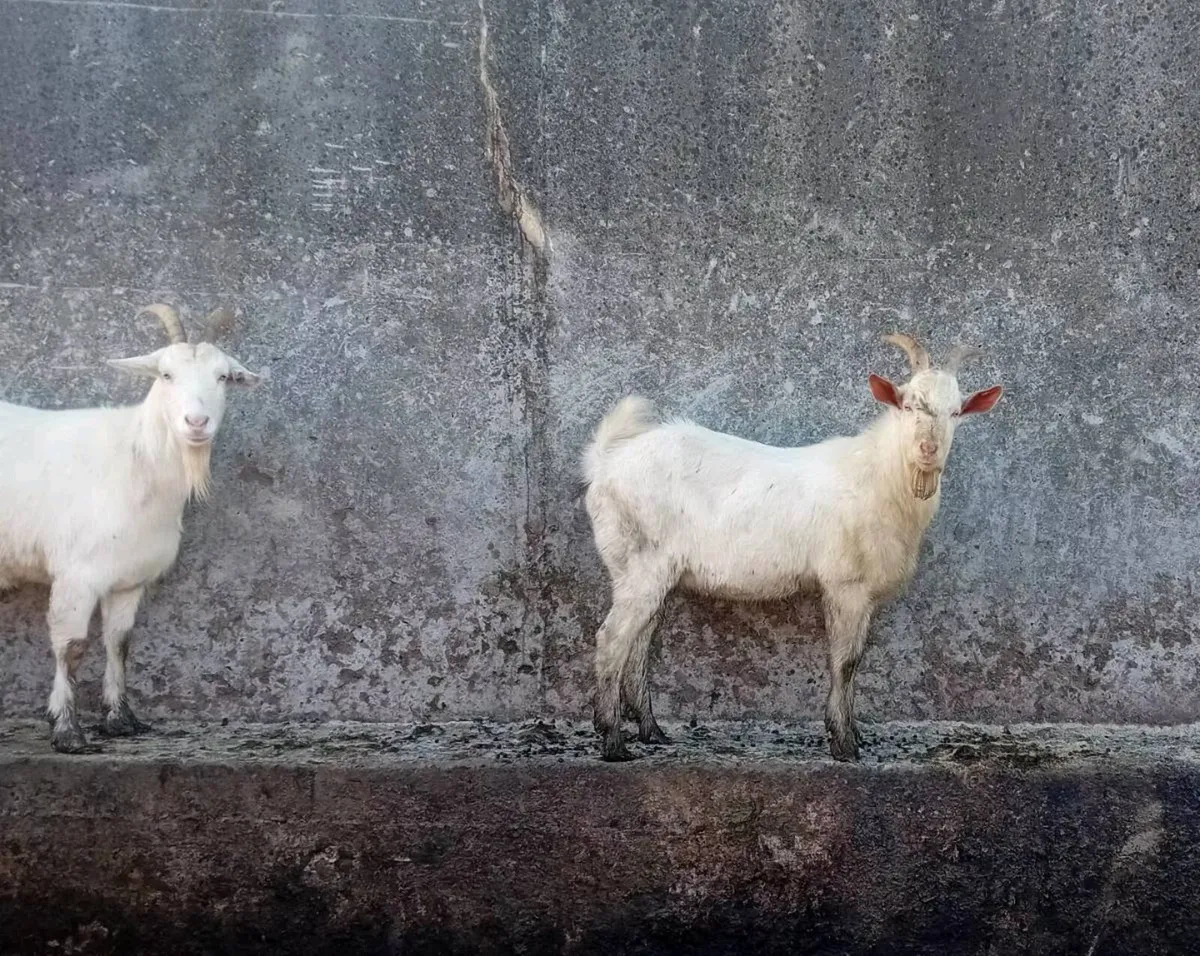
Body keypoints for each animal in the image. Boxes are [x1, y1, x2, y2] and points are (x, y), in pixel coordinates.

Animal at [0, 304, 261, 752]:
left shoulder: (128, 579)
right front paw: (66, 730)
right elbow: (71, 647)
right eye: (166, 374)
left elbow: (119, 642)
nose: (197, 421)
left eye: (223, 376)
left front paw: (120, 718)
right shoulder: (76, 574)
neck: (133, 459)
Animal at [581, 334, 1003, 761]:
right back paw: (612, 739)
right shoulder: (845, 583)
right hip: (640, 562)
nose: (927, 449)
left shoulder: (861, 592)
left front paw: (852, 733)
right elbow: (845, 660)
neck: (881, 478)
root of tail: (605, 463)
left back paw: (650, 729)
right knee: (612, 639)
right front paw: (843, 742)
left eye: (956, 412)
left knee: (639, 643)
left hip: (650, 571)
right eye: (907, 403)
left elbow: (855, 659)